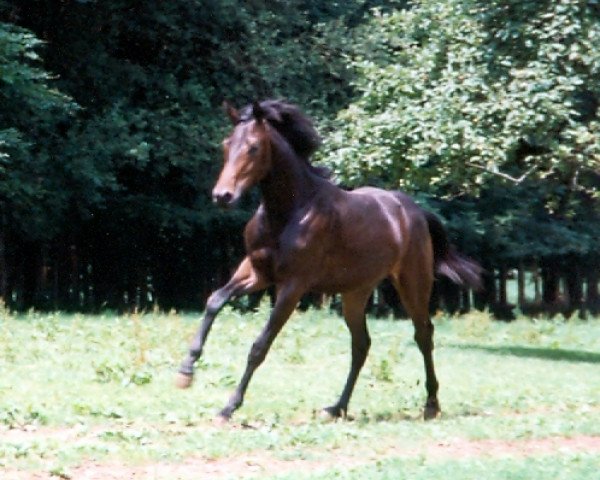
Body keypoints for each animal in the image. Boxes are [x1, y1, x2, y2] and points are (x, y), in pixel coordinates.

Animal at [175, 100, 482, 420]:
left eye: (254, 147)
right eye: (226, 145)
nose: (222, 196)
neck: (290, 211)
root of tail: (413, 210)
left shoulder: (292, 286)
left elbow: (260, 346)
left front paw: (229, 407)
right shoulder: (257, 272)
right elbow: (215, 300)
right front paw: (186, 371)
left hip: (413, 284)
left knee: (423, 335)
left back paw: (431, 405)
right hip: (356, 292)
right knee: (361, 344)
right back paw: (337, 407)